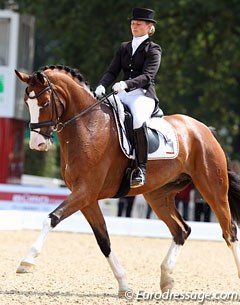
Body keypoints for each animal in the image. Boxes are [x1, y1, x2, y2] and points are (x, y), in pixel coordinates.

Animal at [14, 64, 240, 294]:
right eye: (26, 103)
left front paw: (27, 261)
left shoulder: (85, 191)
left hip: (213, 188)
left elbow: (51, 218)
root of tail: (205, 130)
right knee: (182, 230)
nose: (37, 144)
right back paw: (166, 279)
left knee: (229, 231)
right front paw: (124, 284)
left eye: (45, 103)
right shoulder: (87, 198)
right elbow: (103, 240)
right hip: (157, 195)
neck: (88, 125)